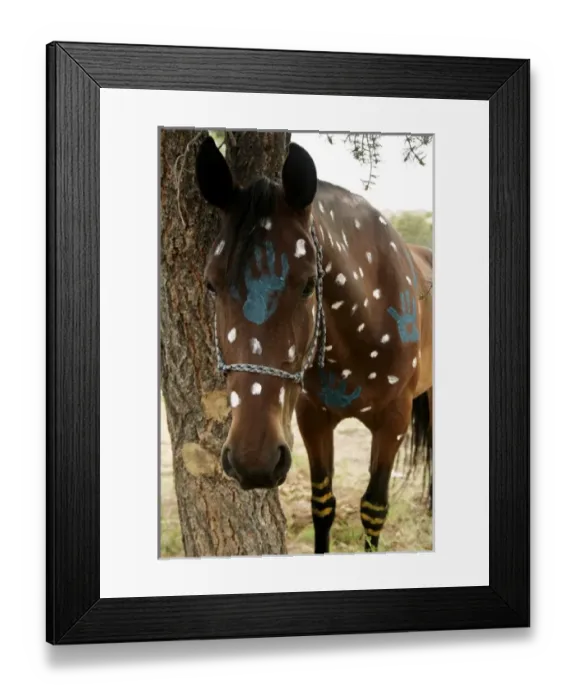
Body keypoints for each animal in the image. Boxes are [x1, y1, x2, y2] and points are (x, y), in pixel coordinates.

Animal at [195, 135, 433, 554]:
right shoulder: (313, 418)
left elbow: (373, 509)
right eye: (211, 284)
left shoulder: (394, 422)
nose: (252, 461)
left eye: (308, 284)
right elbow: (322, 504)